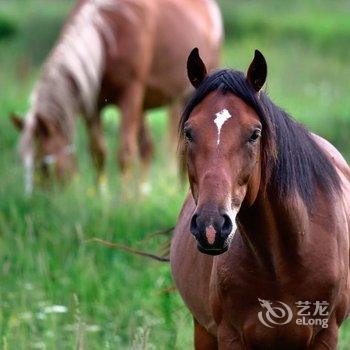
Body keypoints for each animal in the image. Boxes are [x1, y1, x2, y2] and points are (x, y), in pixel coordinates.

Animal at [12, 0, 223, 194]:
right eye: (23, 162)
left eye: (43, 165)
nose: (36, 198)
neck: (107, 39)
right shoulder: (93, 106)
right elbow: (98, 152)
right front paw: (101, 195)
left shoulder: (130, 95)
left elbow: (125, 152)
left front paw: (125, 199)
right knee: (147, 149)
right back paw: (144, 191)